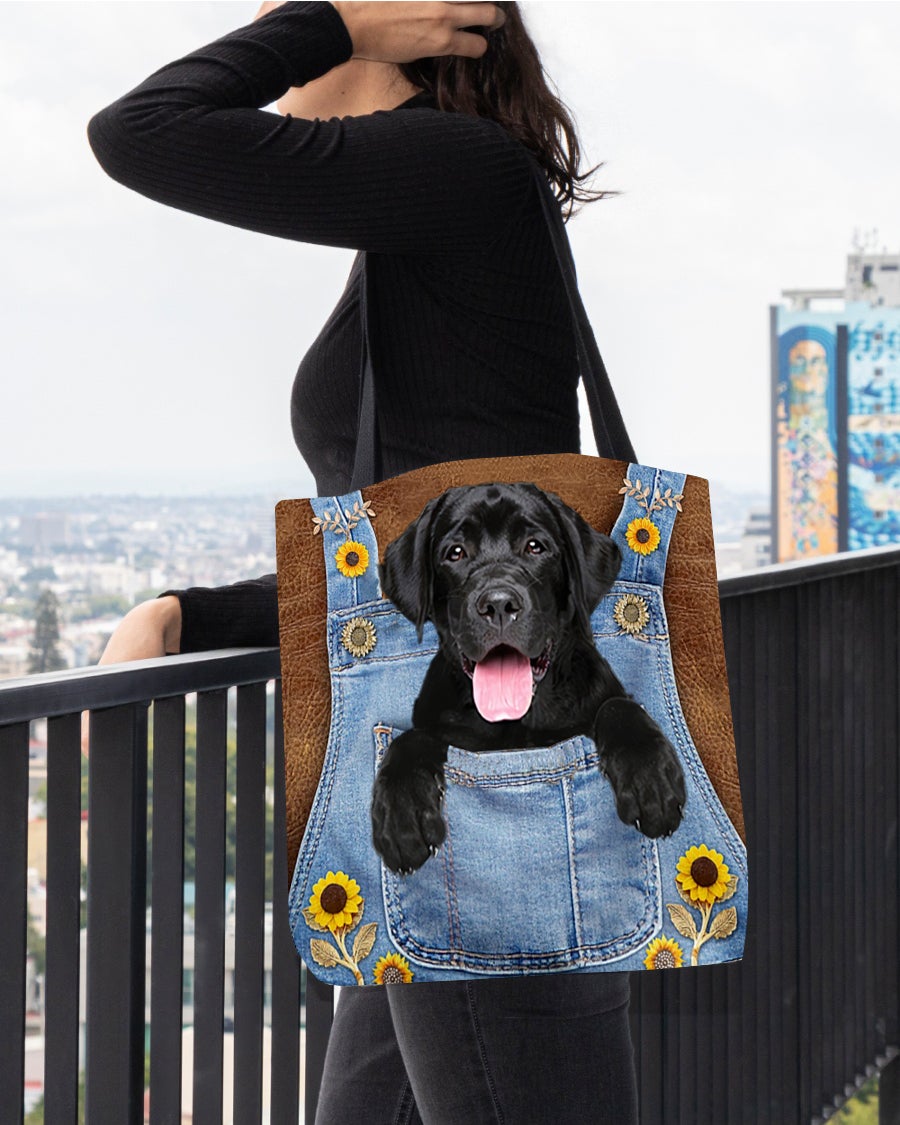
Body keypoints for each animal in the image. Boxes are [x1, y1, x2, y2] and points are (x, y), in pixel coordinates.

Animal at [369, 479, 684, 873]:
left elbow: (618, 707)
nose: (498, 604)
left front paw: (651, 779)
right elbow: (410, 738)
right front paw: (401, 815)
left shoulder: (602, 698)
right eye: (455, 553)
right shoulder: (439, 724)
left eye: (535, 547)